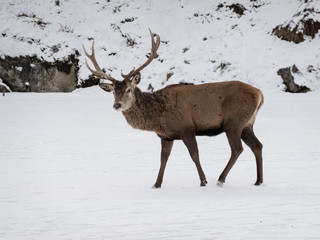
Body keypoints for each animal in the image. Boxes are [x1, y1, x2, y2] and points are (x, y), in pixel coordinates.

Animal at [82, 28, 262, 188]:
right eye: (113, 92)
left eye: (128, 90)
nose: (117, 105)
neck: (159, 117)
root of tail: (260, 94)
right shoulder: (166, 136)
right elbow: (163, 158)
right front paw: (156, 184)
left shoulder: (187, 128)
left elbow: (194, 155)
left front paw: (203, 181)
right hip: (247, 124)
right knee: (257, 146)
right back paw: (258, 181)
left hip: (233, 122)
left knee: (237, 149)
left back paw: (220, 179)